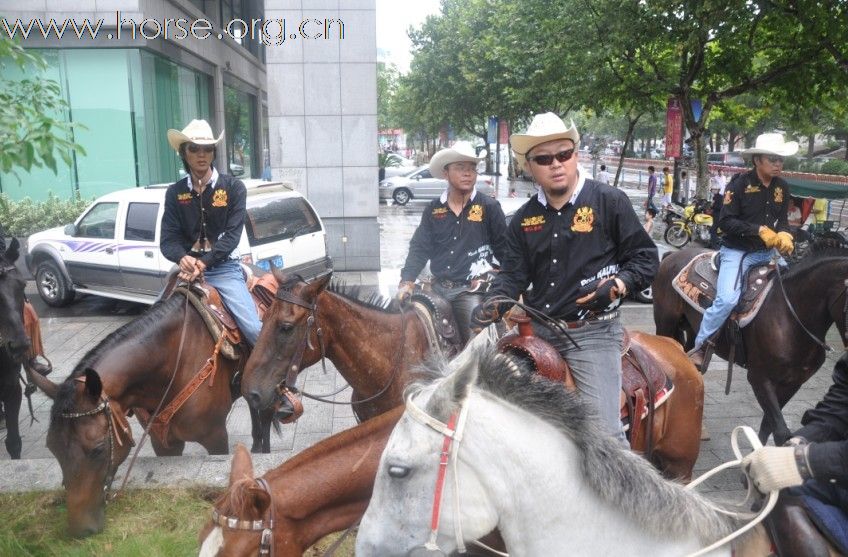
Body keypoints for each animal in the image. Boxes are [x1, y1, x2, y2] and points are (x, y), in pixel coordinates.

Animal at [28, 294, 274, 536]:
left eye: (98, 449)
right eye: (52, 447)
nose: (80, 528)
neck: (174, 364)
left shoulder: (216, 437)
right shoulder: (162, 442)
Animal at [652, 245, 848, 446]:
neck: (789, 318)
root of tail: (672, 254)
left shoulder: (793, 383)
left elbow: (768, 426)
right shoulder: (759, 378)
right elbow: (780, 431)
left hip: (692, 328)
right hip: (666, 322)